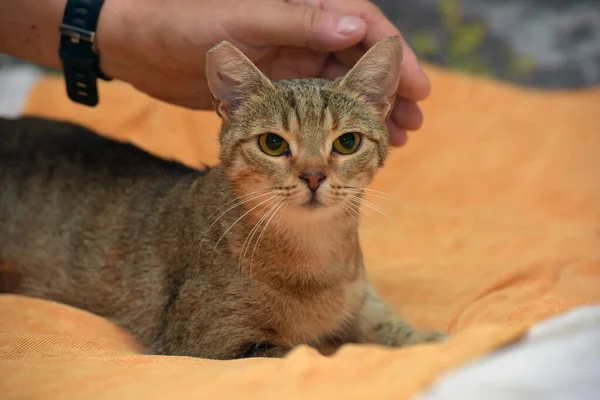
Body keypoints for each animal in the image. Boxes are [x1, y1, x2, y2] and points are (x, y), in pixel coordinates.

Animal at [0, 37, 448, 358]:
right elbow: (306, 353)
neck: (315, 260)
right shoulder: (210, 344)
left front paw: (429, 340)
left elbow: (385, 321)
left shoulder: (359, 294)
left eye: (347, 142)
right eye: (272, 143)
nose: (314, 176)